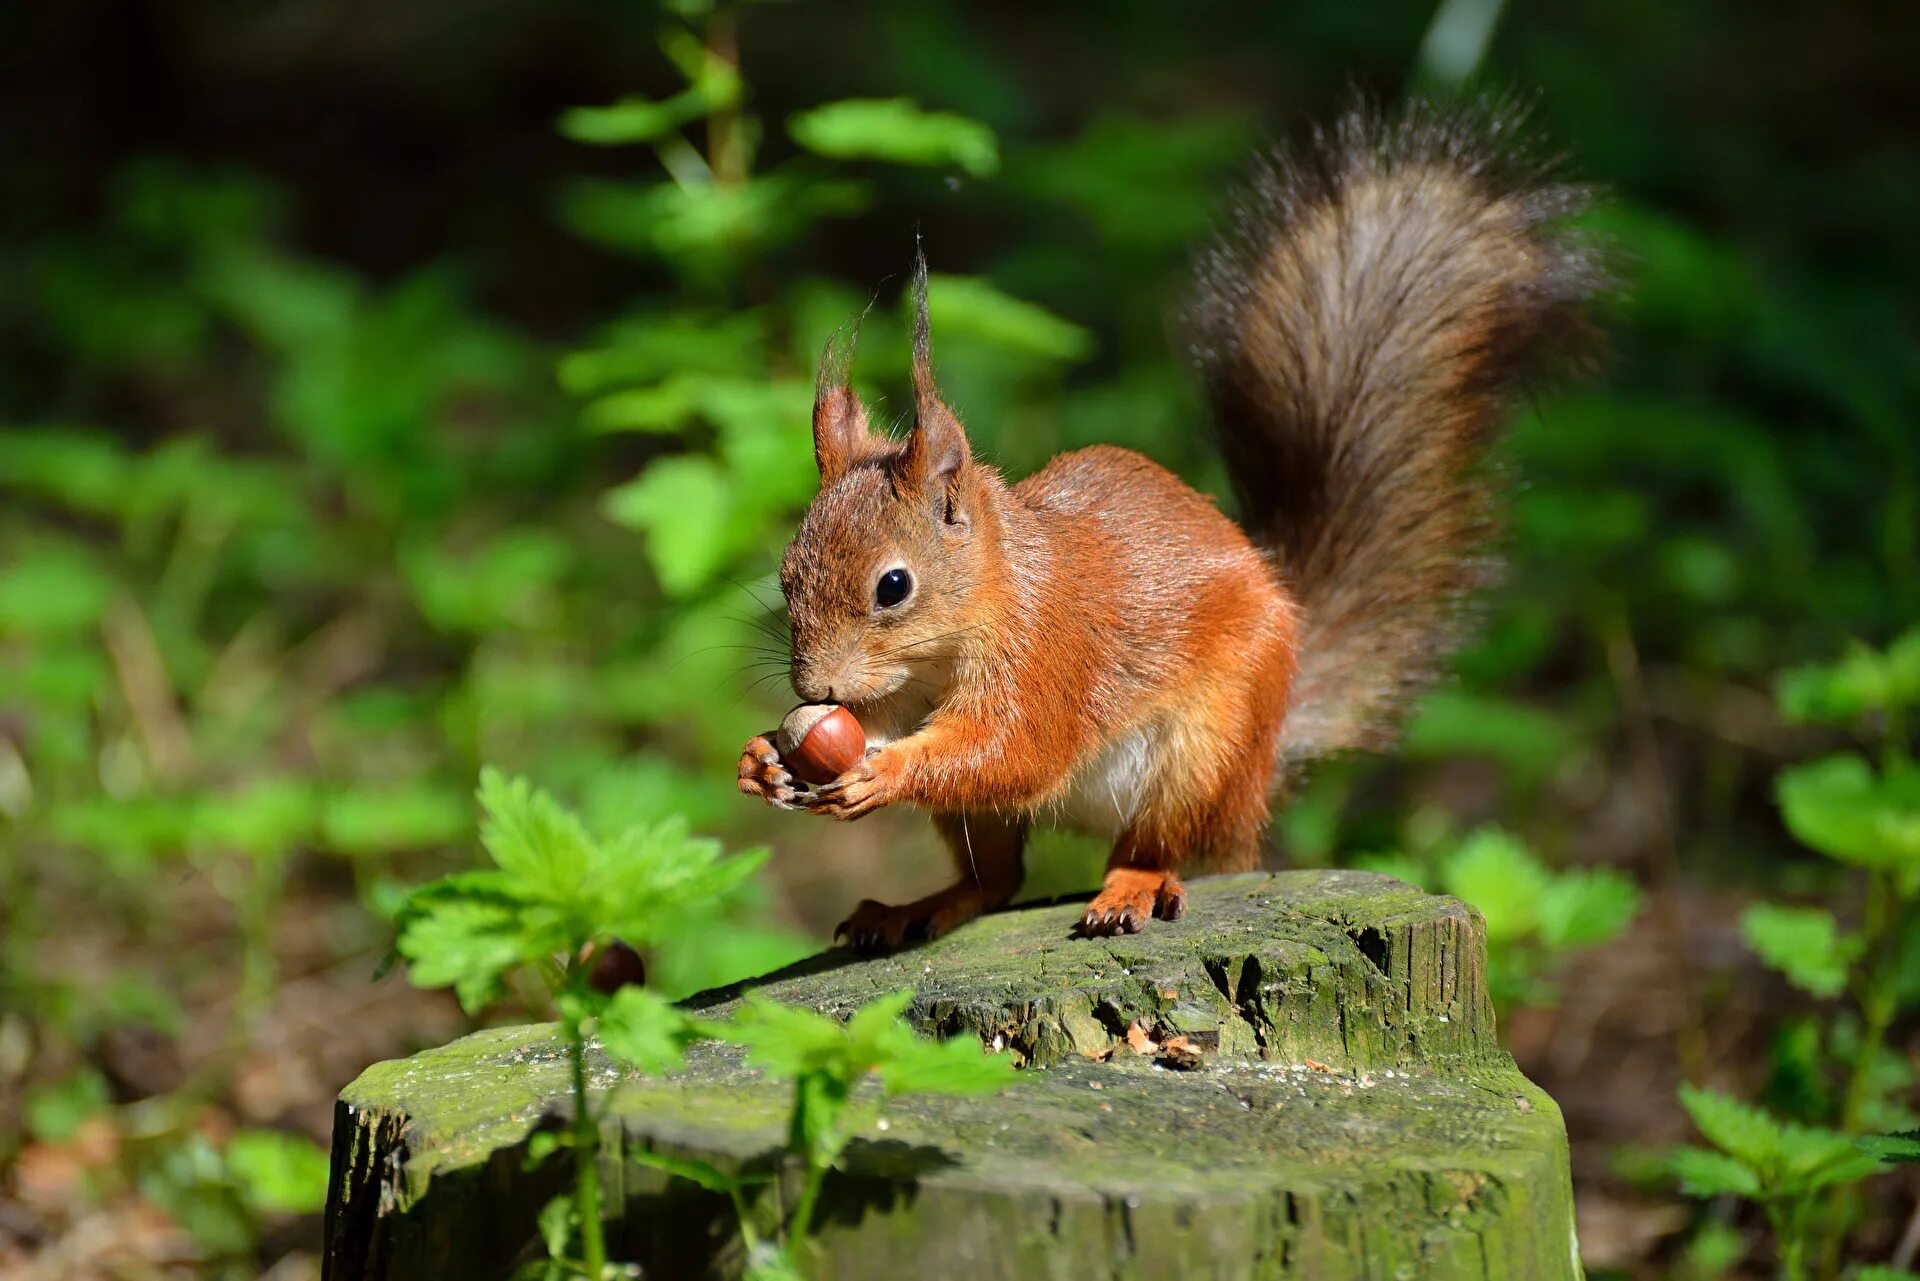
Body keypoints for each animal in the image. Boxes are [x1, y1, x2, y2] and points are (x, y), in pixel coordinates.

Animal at [737, 102, 1605, 952]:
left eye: (894, 586)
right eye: (785, 573)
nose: (813, 689)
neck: (962, 628)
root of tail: (1264, 760)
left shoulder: (1050, 656)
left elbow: (1012, 749)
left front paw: (878, 772)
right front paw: (764, 760)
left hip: (1203, 751)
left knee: (1157, 844)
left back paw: (1133, 886)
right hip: (1011, 818)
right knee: (996, 881)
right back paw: (920, 905)